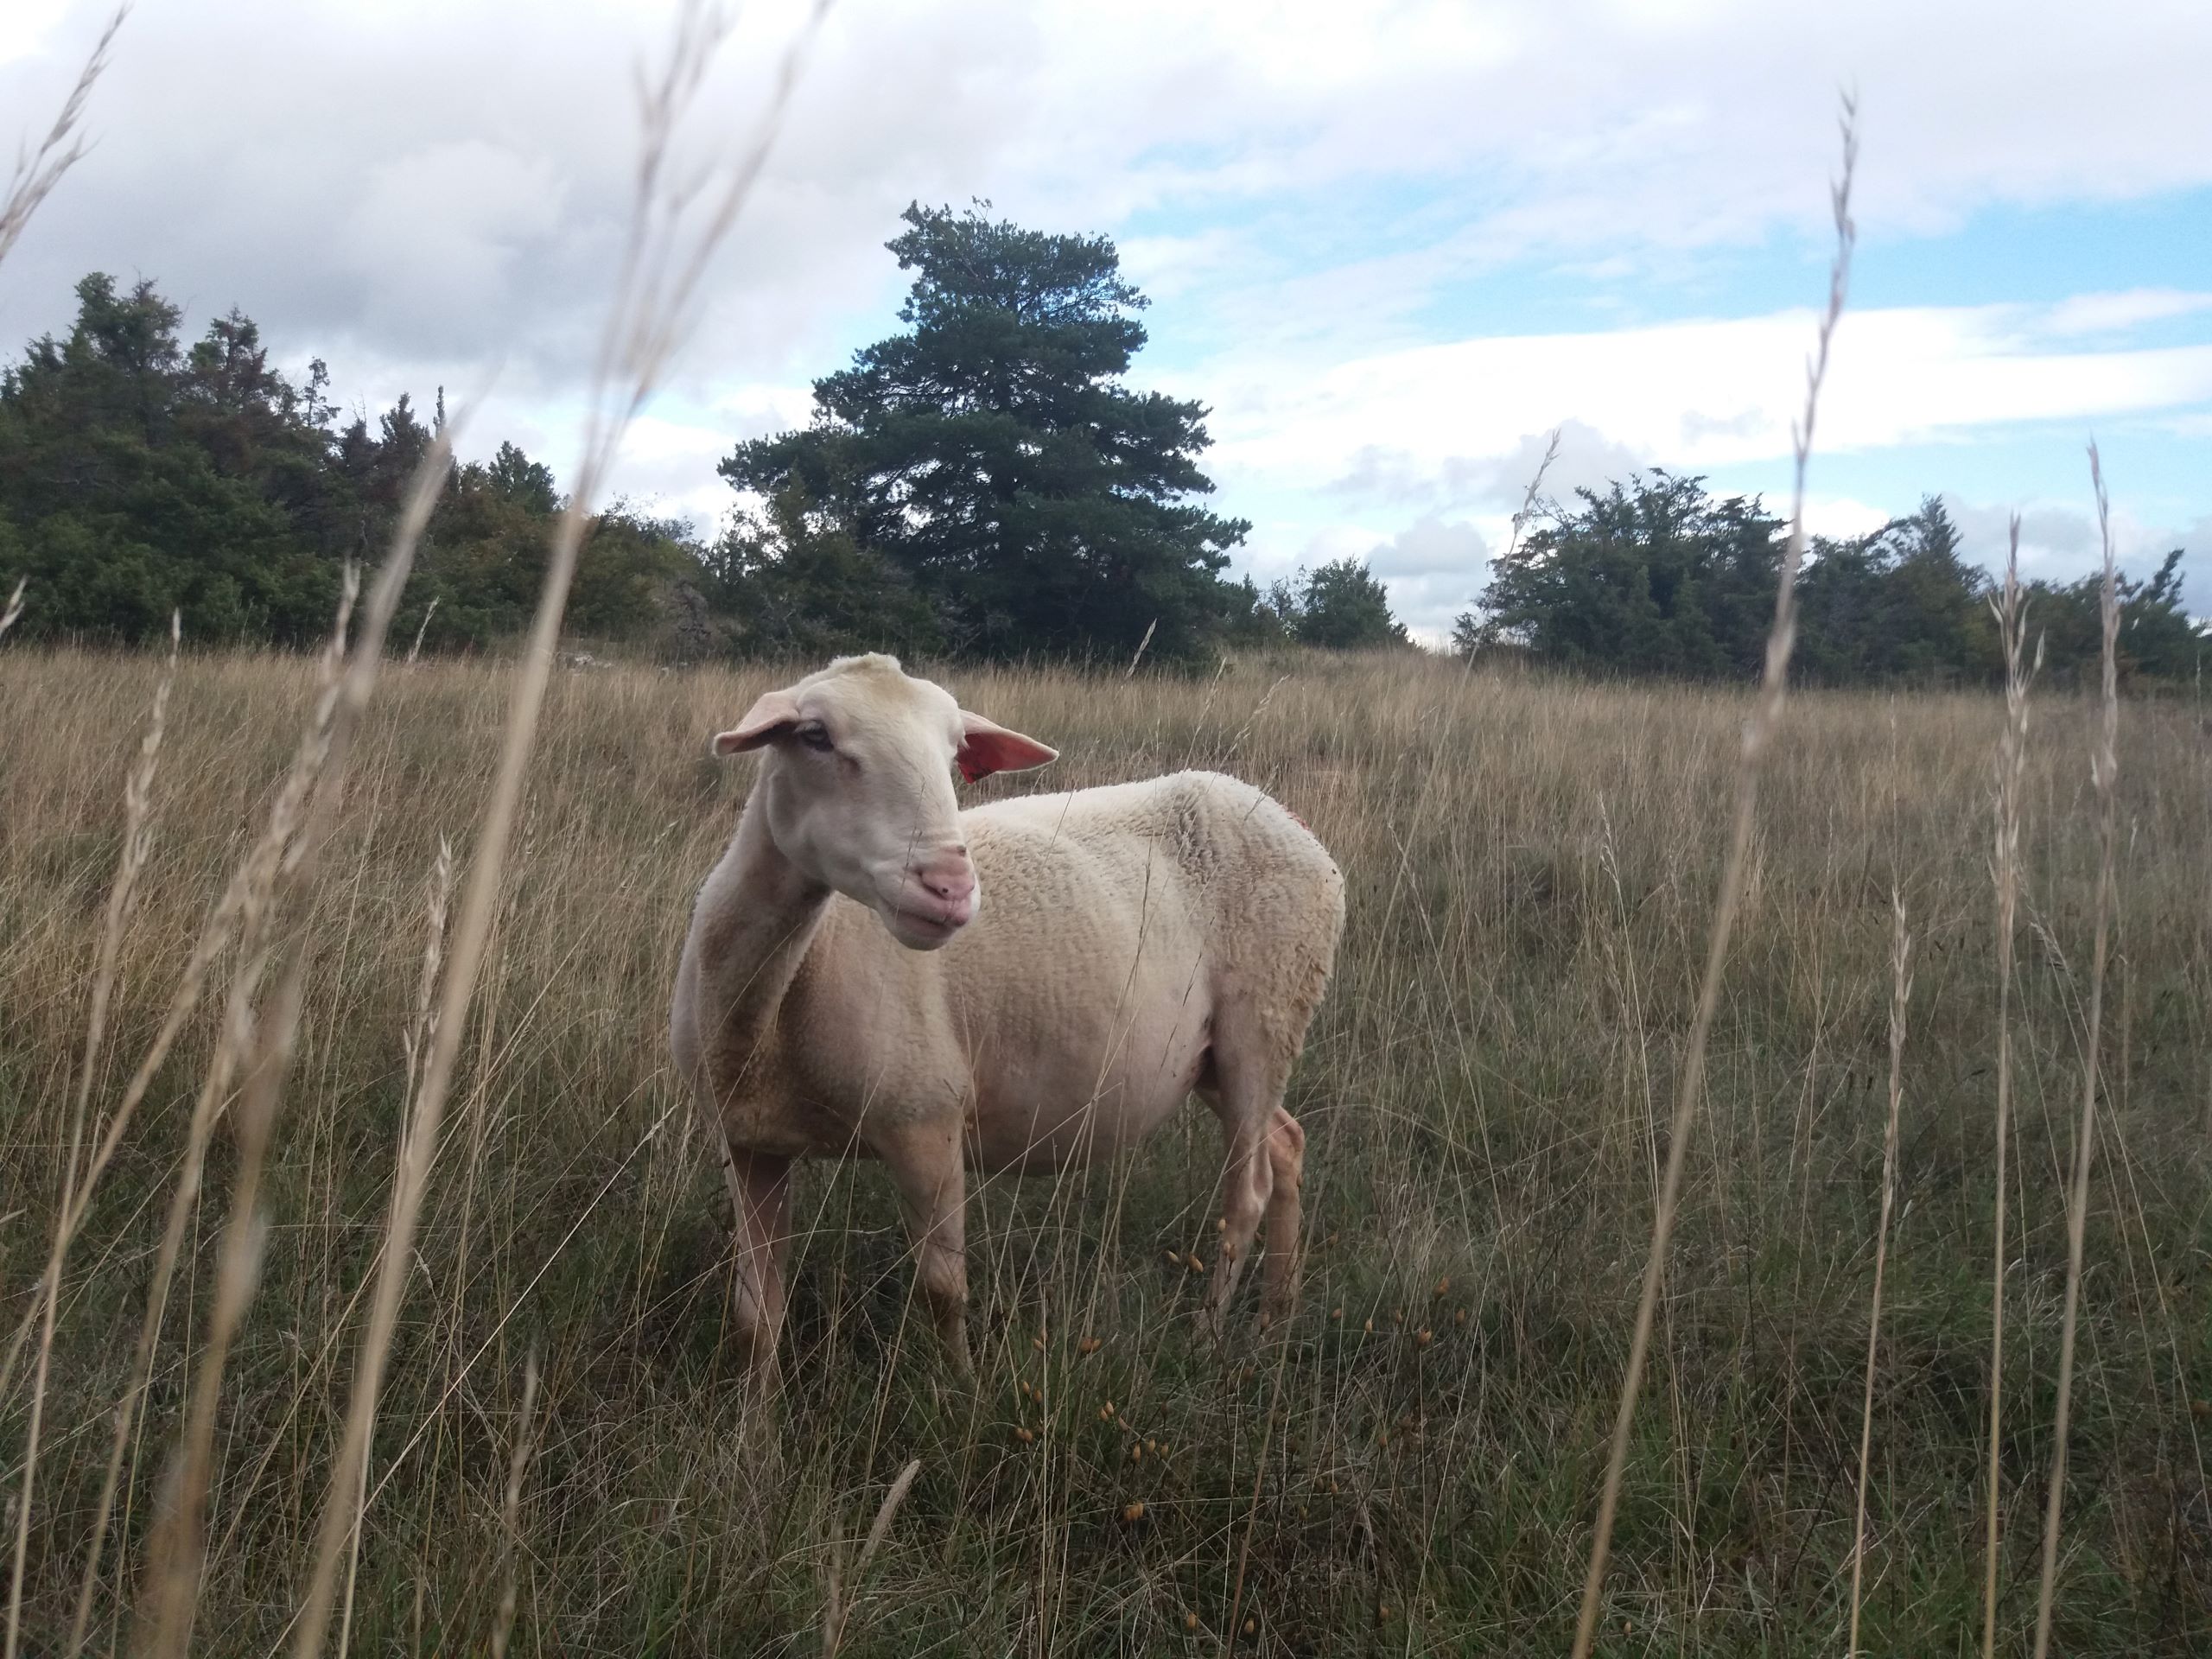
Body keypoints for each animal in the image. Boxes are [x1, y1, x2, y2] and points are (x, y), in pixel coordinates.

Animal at [664, 654, 1336, 1380]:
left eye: (955, 749)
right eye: (814, 735)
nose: (951, 886)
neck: (767, 1014)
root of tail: (1291, 822)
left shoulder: (925, 1119)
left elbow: (942, 1293)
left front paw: (958, 1394)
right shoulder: (748, 1144)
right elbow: (755, 1318)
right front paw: (753, 1412)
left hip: (1265, 1019)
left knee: (1249, 1191)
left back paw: (1210, 1339)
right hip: (1210, 1056)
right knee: (1287, 1143)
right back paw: (1275, 1322)